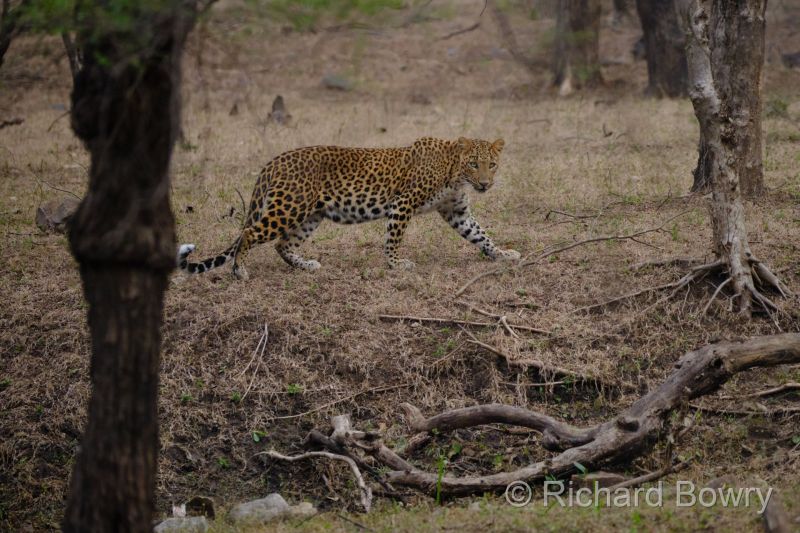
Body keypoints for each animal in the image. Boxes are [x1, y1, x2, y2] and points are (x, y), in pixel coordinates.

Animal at [177, 136, 521, 279]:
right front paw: (397, 265)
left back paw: (306, 266)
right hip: (288, 207)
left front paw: (503, 254)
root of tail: (274, 161)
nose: (485, 184)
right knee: (249, 233)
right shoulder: (403, 203)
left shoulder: (456, 211)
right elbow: (393, 238)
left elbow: (480, 235)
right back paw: (240, 270)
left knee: (282, 244)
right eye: (473, 163)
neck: (454, 173)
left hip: (310, 215)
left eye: (491, 164)